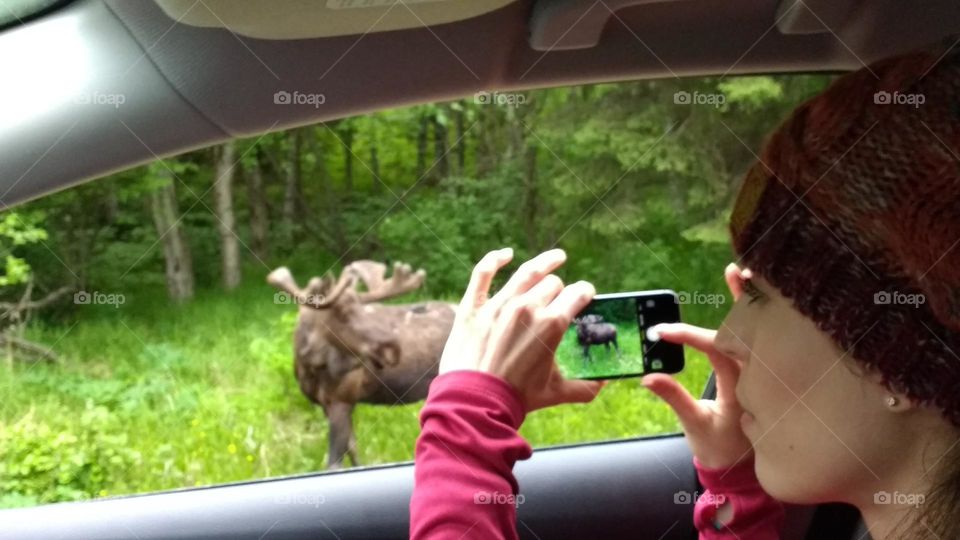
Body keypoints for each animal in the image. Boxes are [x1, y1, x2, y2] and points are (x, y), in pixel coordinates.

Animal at [267, 260, 456, 470]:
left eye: (363, 308)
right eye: (342, 313)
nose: (392, 348)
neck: (308, 365)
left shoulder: (343, 399)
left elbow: (335, 462)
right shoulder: (327, 404)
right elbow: (353, 451)